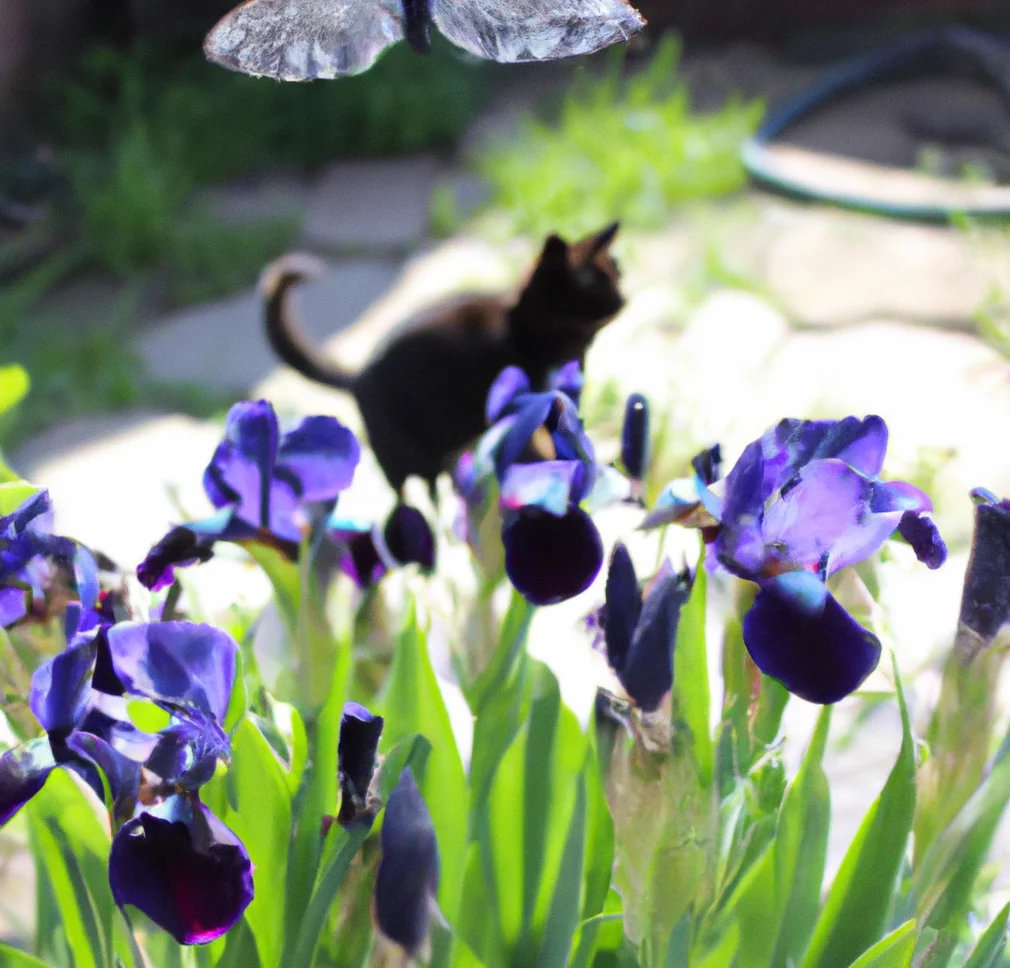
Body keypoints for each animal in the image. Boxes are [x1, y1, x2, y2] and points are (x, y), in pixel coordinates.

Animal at [262, 224, 622, 497]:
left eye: (617, 273)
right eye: (591, 282)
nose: (623, 299)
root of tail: (360, 375)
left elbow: (571, 431)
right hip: (407, 459)